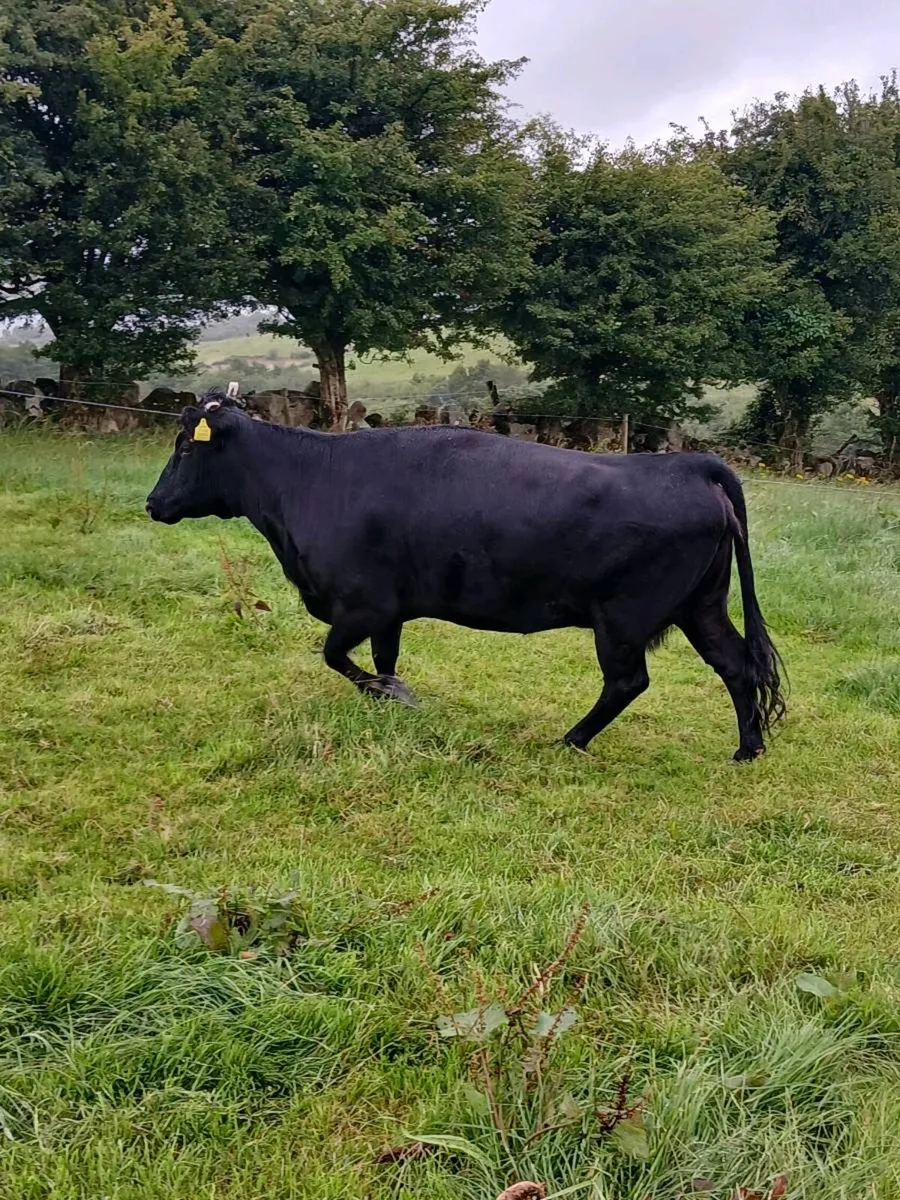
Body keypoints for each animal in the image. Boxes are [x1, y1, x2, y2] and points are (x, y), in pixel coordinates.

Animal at [146, 393, 785, 761]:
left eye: (185, 446)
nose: (153, 503)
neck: (311, 480)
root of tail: (687, 464)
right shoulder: (390, 610)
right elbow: (381, 658)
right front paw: (387, 696)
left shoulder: (362, 603)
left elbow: (335, 656)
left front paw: (392, 695)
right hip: (700, 604)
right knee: (736, 664)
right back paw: (747, 748)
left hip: (624, 618)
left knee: (628, 682)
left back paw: (571, 740)